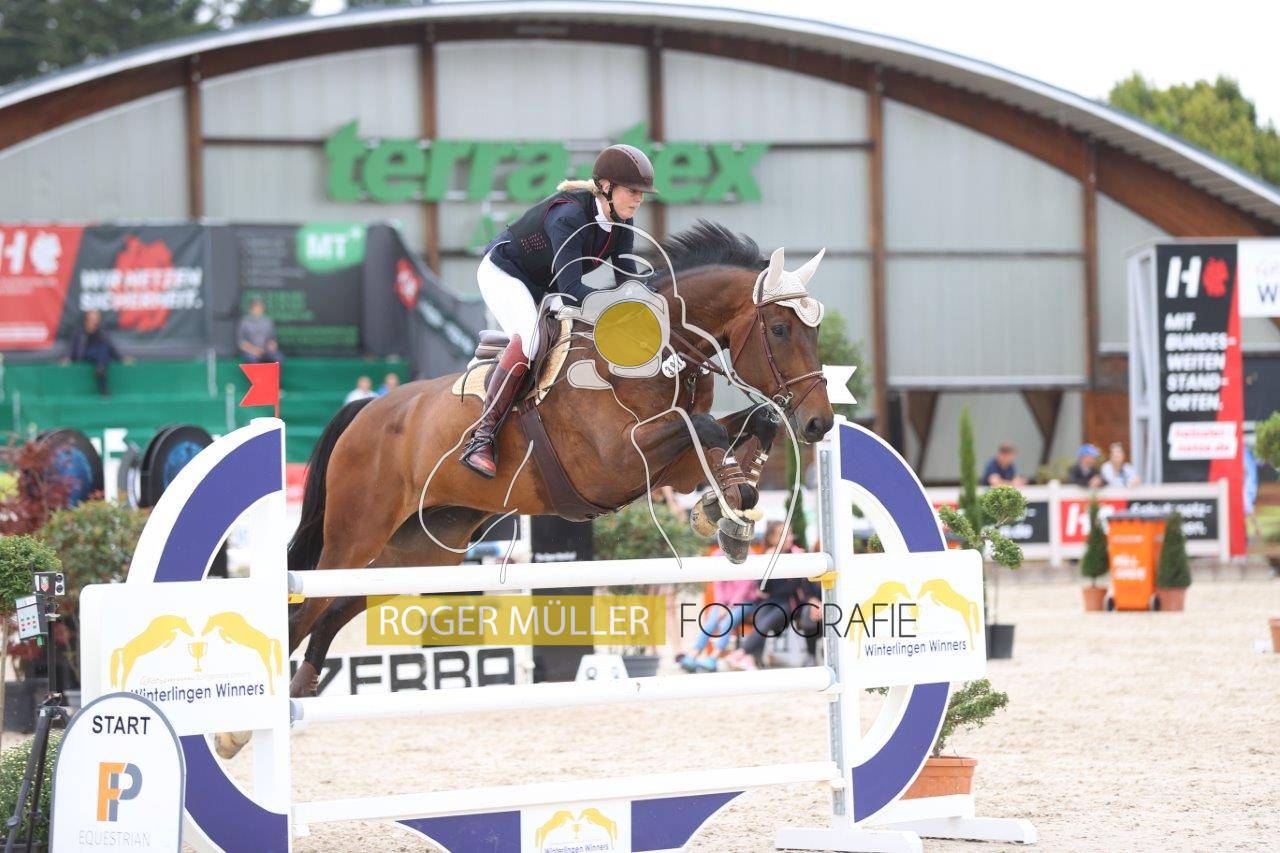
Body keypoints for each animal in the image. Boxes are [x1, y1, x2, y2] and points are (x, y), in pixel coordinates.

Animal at [285, 221, 835, 698]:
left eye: (815, 331)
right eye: (780, 329)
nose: (819, 424)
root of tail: (363, 411)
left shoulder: (668, 467)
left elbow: (747, 423)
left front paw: (730, 504)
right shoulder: (615, 462)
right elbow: (707, 427)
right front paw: (726, 505)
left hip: (420, 551)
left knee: (330, 612)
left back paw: (300, 689)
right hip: (355, 536)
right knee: (304, 607)